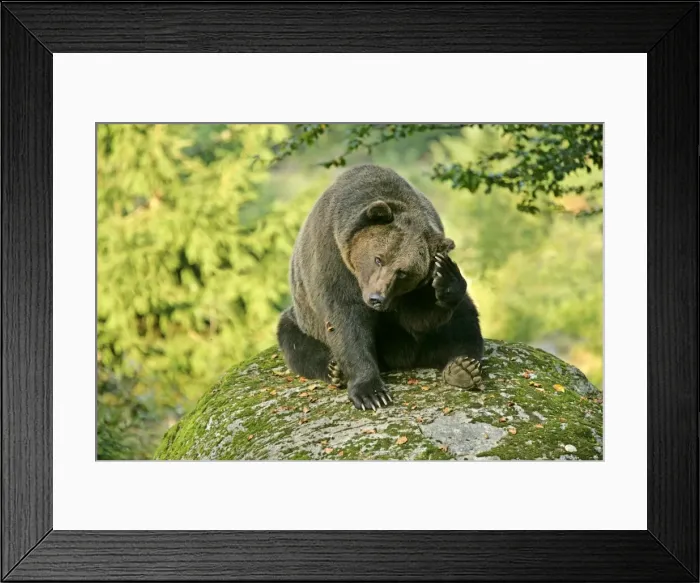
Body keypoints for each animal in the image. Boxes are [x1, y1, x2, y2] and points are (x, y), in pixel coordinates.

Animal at [276, 164, 484, 410]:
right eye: (378, 259)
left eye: (403, 272)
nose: (376, 298)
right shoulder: (332, 257)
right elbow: (345, 319)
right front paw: (371, 393)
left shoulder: (410, 293)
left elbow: (420, 318)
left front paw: (447, 276)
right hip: (303, 317)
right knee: (293, 340)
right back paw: (334, 369)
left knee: (464, 320)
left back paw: (463, 368)